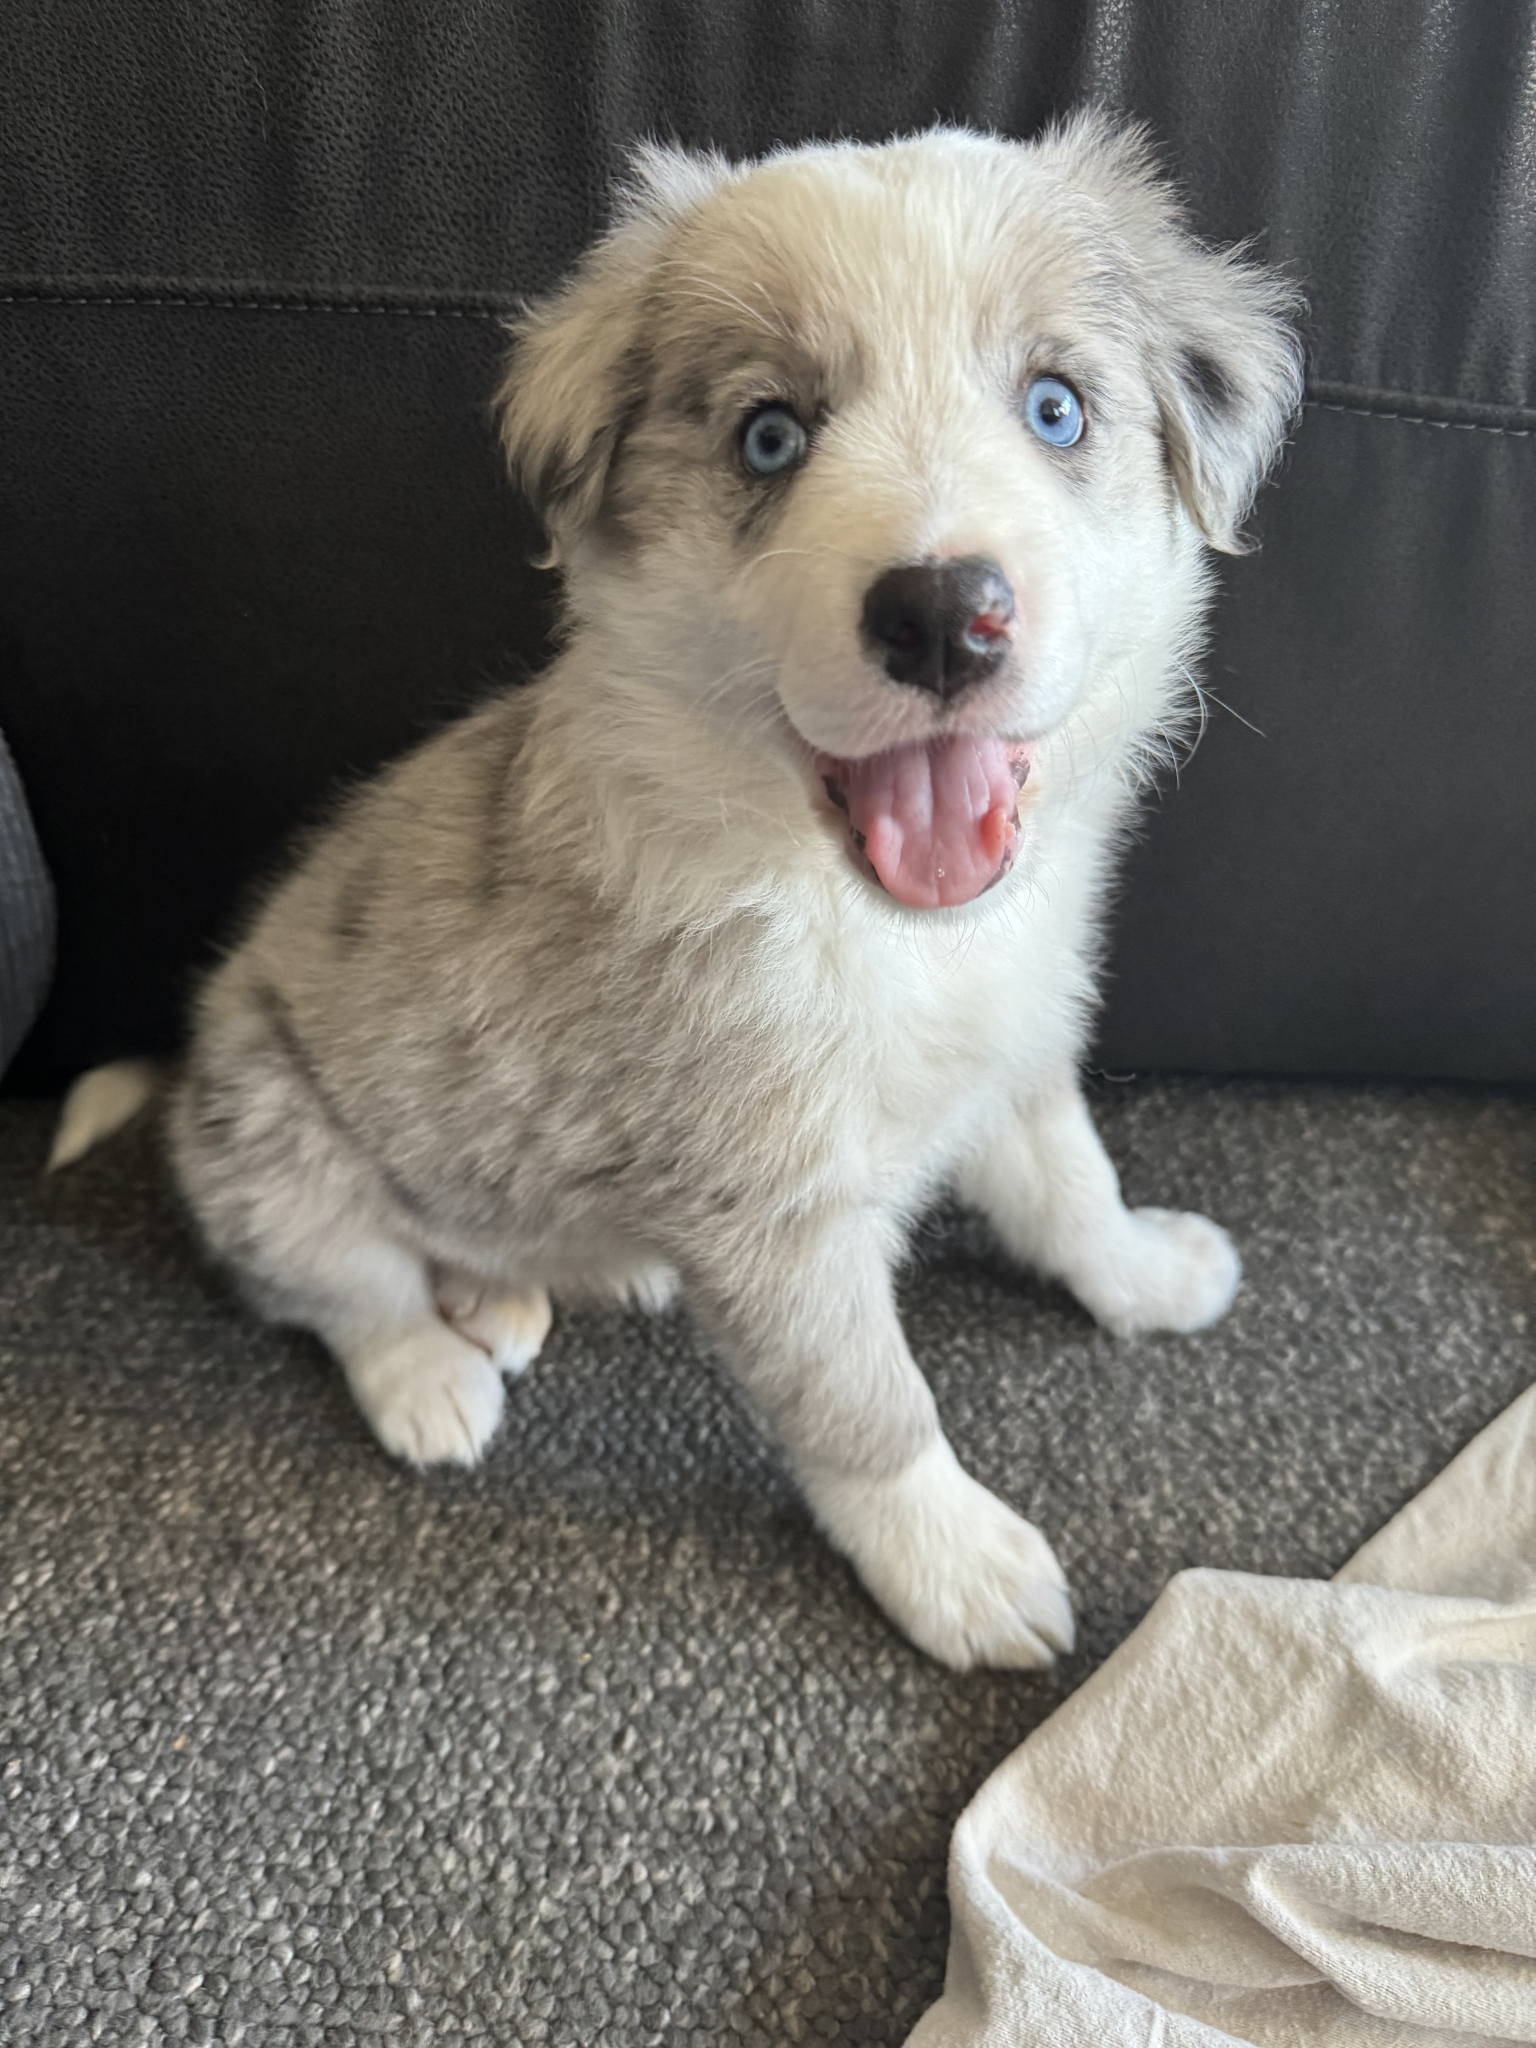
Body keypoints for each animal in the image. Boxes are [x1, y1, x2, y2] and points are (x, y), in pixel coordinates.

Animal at [139, 116, 1302, 1670]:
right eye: (770, 434)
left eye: (1056, 408)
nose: (944, 615)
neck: (884, 929)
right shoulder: (773, 1208)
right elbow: (867, 1404)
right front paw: (957, 1566)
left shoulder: (1012, 1057)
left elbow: (1074, 1190)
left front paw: (1150, 1277)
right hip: (269, 1141)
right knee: (347, 1286)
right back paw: (435, 1374)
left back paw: (543, 1279)